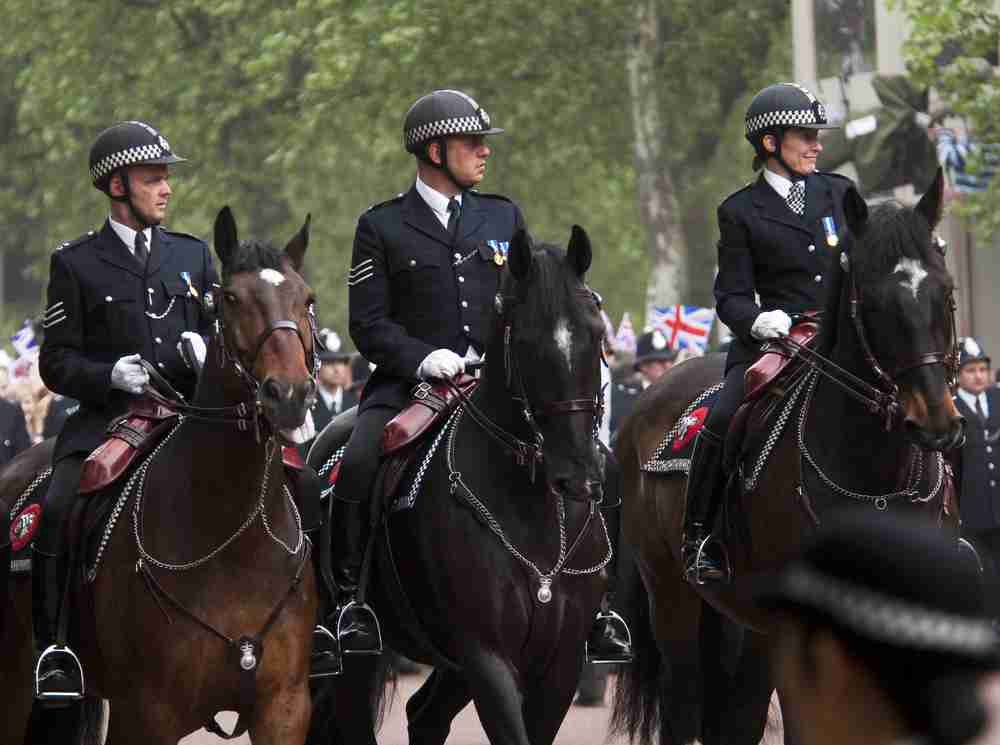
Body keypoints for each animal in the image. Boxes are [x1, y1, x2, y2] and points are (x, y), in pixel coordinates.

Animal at [0, 205, 318, 744]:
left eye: (307, 298)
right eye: (230, 298)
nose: (290, 395)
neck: (234, 539)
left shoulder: (284, 709)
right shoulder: (147, 716)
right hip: (13, 683)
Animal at [308, 225, 612, 744]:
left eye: (595, 336)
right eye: (525, 341)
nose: (578, 476)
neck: (531, 509)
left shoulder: (561, 662)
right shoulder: (487, 656)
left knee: (423, 715)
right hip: (353, 657)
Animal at [608, 170, 960, 744]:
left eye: (946, 292)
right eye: (874, 303)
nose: (936, 423)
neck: (873, 476)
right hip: (672, 597)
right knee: (683, 705)